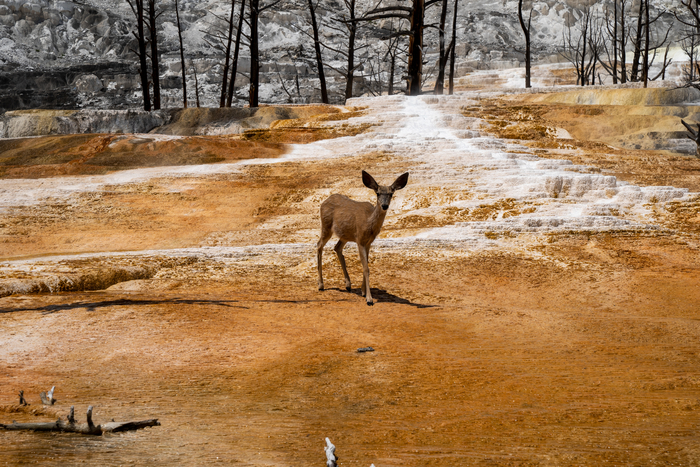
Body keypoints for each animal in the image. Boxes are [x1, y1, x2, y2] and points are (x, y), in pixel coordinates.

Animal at [314, 172, 408, 308]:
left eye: (391, 193)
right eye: (378, 193)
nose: (384, 206)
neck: (369, 223)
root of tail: (324, 202)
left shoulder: (368, 242)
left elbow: (366, 265)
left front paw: (363, 292)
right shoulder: (360, 240)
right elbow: (366, 268)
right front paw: (369, 299)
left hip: (345, 234)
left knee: (337, 247)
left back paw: (348, 285)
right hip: (326, 226)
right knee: (319, 245)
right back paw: (321, 285)